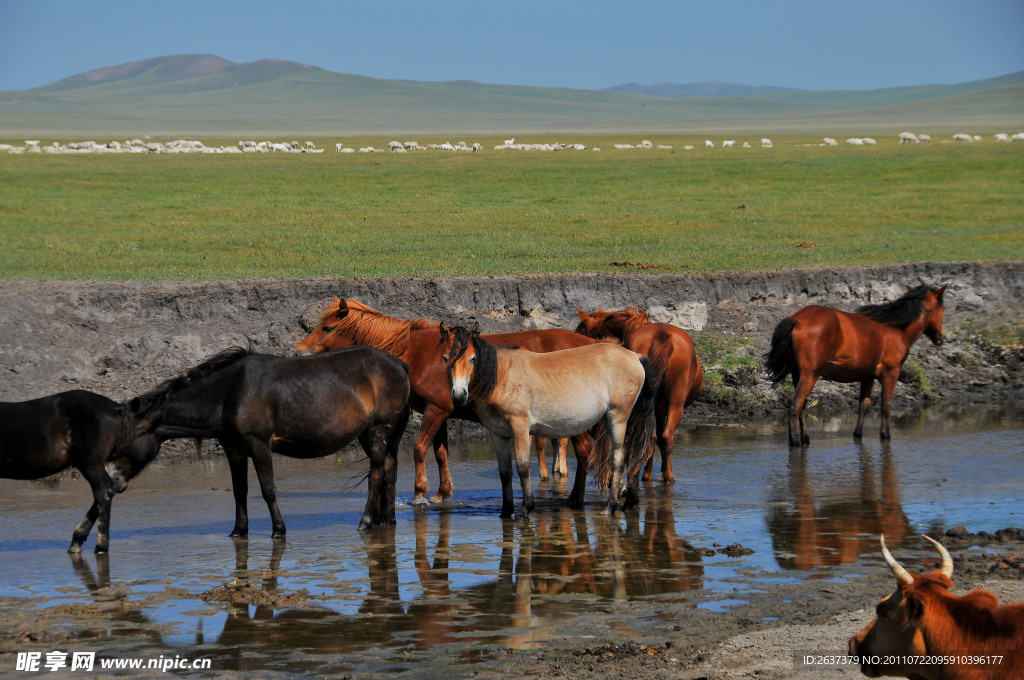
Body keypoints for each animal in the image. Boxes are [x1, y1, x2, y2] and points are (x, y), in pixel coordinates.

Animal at [125, 346, 413, 536]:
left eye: (123, 439)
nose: (115, 484)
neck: (229, 393)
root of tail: (398, 363)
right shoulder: (234, 450)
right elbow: (239, 491)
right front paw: (238, 530)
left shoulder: (259, 445)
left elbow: (267, 489)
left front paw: (278, 529)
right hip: (369, 433)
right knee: (390, 470)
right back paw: (387, 519)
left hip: (378, 430)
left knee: (376, 475)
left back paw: (365, 521)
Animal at [442, 323, 655, 520]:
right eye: (445, 358)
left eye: (472, 358)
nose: (459, 395)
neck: (501, 377)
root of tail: (635, 356)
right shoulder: (498, 434)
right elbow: (505, 473)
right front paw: (506, 511)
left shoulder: (520, 428)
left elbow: (523, 468)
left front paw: (525, 509)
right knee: (634, 454)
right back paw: (629, 501)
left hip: (617, 417)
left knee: (618, 458)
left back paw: (610, 506)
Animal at [577, 305, 704, 485]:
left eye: (582, 328)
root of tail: (662, 336)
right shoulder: (660, 411)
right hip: (675, 405)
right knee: (662, 437)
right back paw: (662, 477)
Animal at [765, 284, 946, 448]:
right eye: (942, 307)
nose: (941, 338)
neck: (895, 328)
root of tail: (797, 319)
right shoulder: (891, 373)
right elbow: (886, 406)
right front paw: (885, 434)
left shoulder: (867, 376)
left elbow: (864, 406)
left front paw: (858, 434)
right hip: (810, 375)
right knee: (795, 403)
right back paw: (795, 441)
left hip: (797, 374)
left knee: (802, 406)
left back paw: (805, 439)